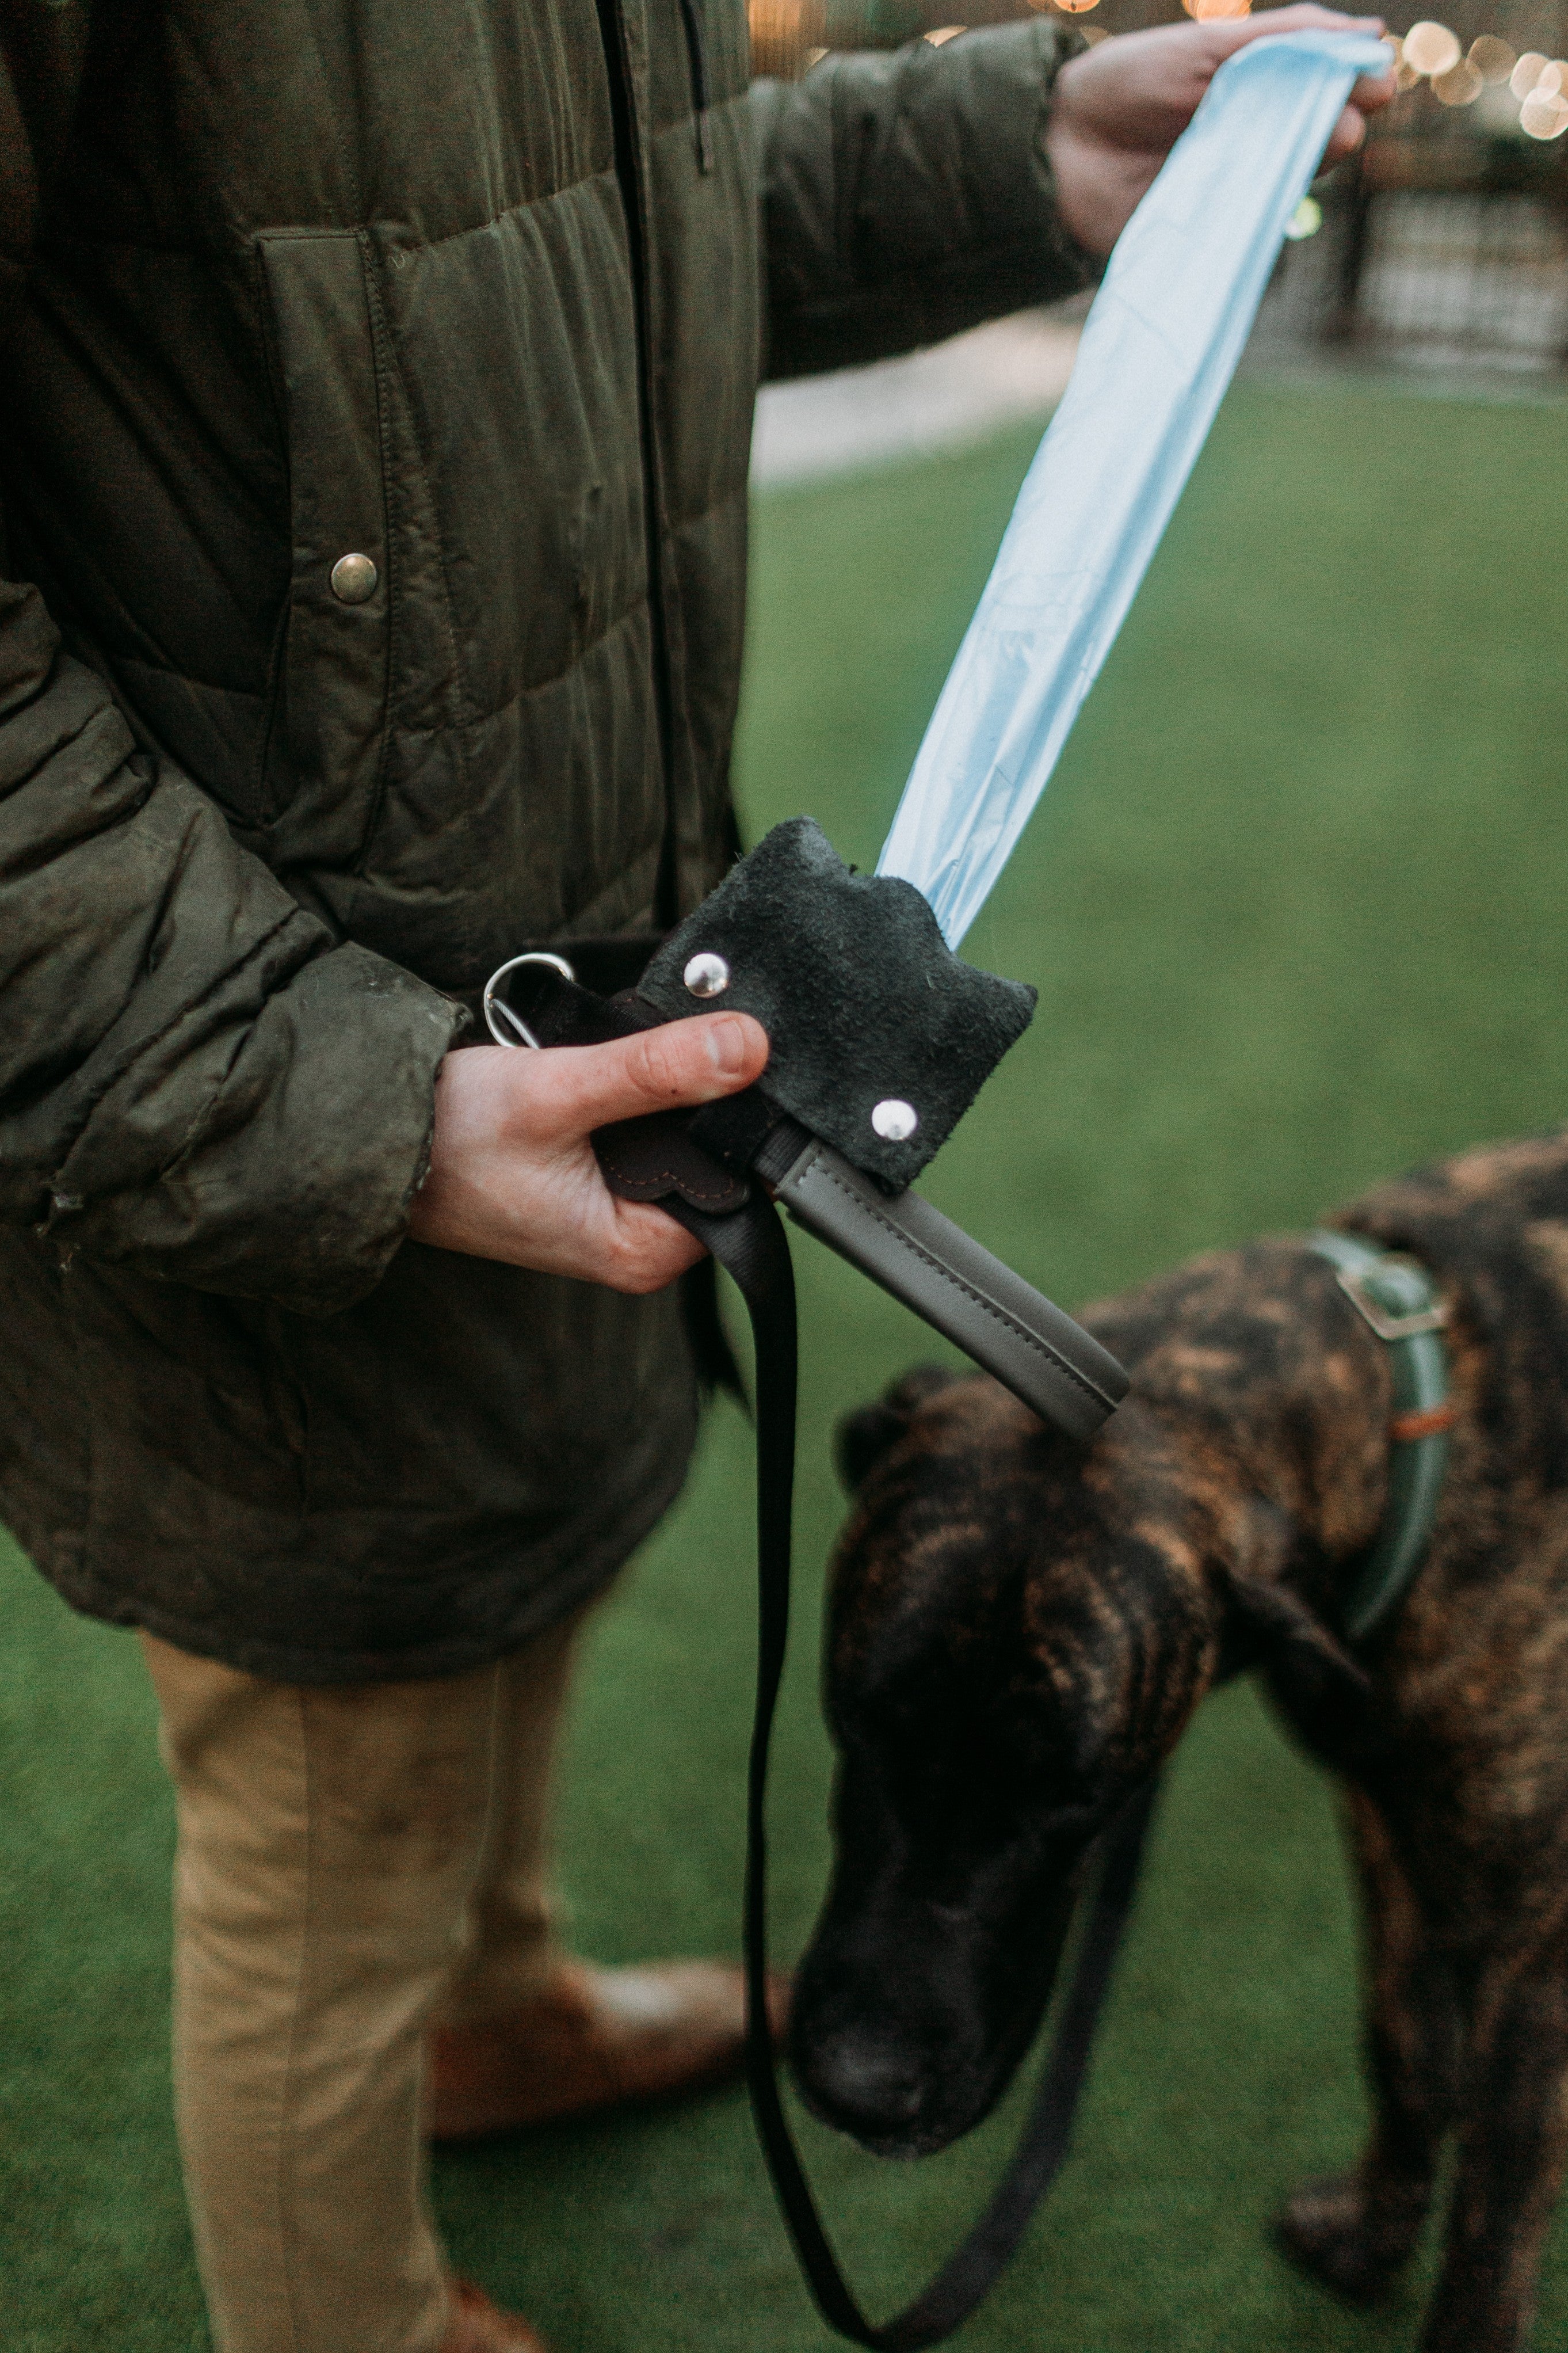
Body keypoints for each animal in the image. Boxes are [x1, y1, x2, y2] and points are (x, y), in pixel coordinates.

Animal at [789, 1129, 1568, 2343]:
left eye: (1075, 1797)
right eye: (858, 1718)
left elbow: (1490, 2236)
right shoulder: (1378, 1816)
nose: (856, 2085)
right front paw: (1374, 2234)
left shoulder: (1531, 1960)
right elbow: (1401, 2041)